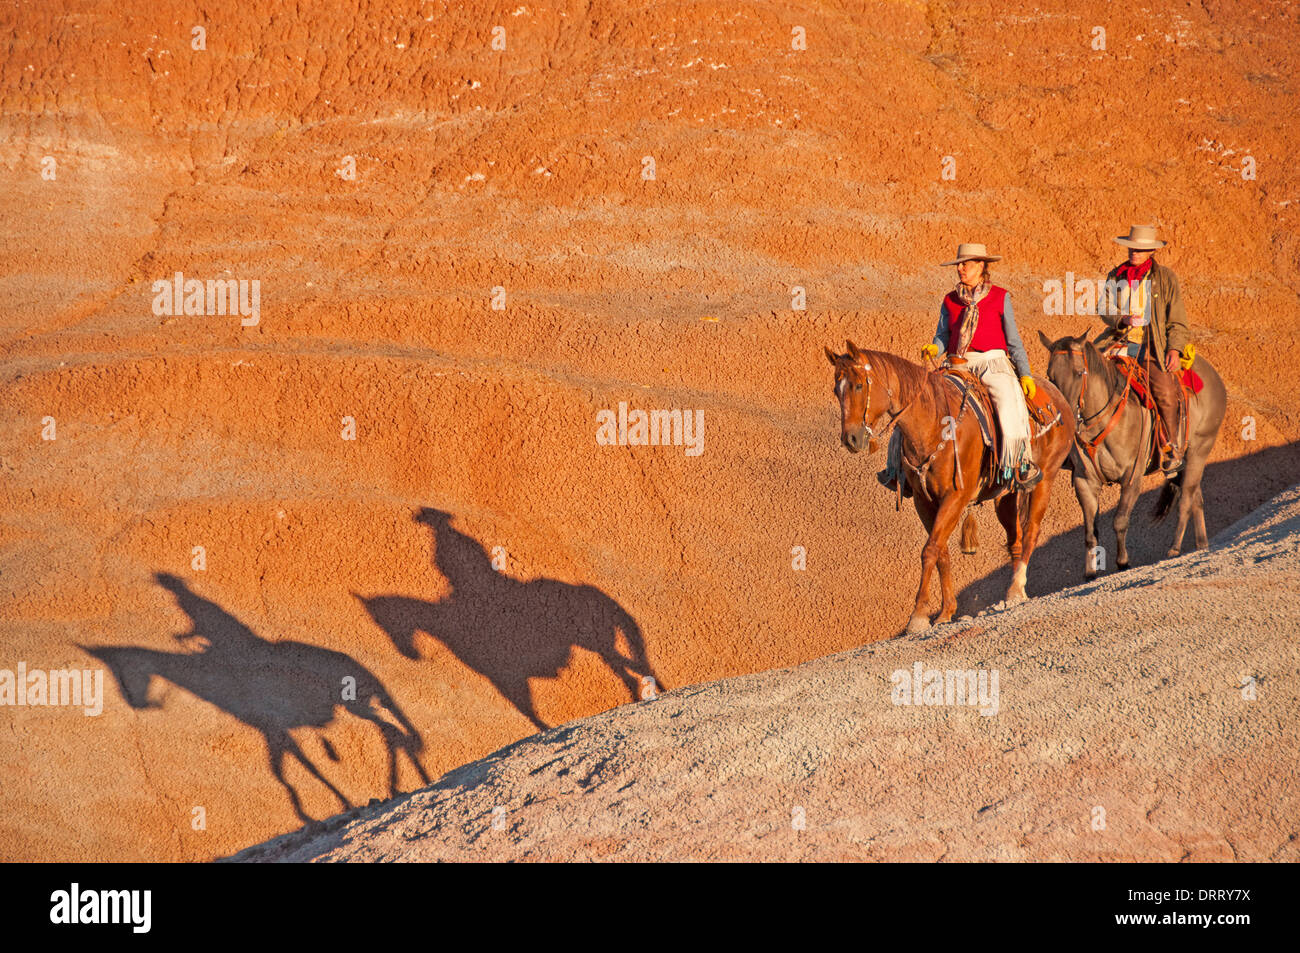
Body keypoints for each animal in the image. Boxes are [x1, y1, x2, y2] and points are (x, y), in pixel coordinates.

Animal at [826, 340, 1071, 631]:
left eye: (858, 385)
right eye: (836, 389)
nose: (851, 438)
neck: (932, 423)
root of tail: (1058, 398)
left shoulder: (955, 497)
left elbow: (930, 549)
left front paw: (918, 615)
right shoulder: (924, 501)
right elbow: (940, 551)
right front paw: (945, 612)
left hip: (1045, 480)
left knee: (1032, 531)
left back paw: (1016, 588)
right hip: (1006, 496)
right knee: (1016, 539)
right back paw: (1015, 592)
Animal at [1040, 330, 1222, 577]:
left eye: (1079, 373)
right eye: (1051, 376)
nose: (1067, 416)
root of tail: (1215, 379)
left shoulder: (1131, 478)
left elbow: (1119, 521)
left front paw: (1123, 563)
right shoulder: (1084, 481)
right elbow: (1090, 533)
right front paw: (1090, 574)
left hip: (1199, 451)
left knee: (1185, 500)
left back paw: (1174, 548)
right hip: (1184, 465)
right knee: (1196, 499)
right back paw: (1200, 545)